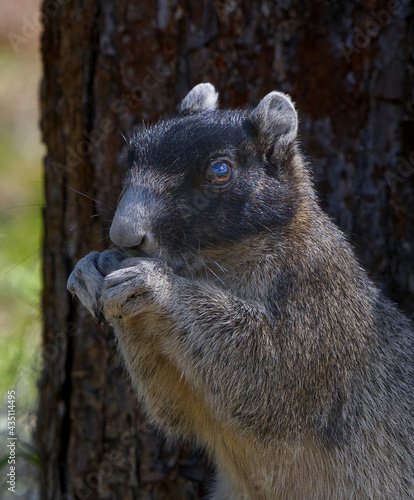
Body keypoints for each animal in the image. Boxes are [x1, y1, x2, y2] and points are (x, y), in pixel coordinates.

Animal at [68, 84, 414, 498]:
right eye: (131, 155)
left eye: (220, 171)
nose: (124, 235)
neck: (218, 267)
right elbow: (172, 406)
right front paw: (89, 268)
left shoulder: (321, 310)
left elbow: (268, 372)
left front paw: (154, 285)